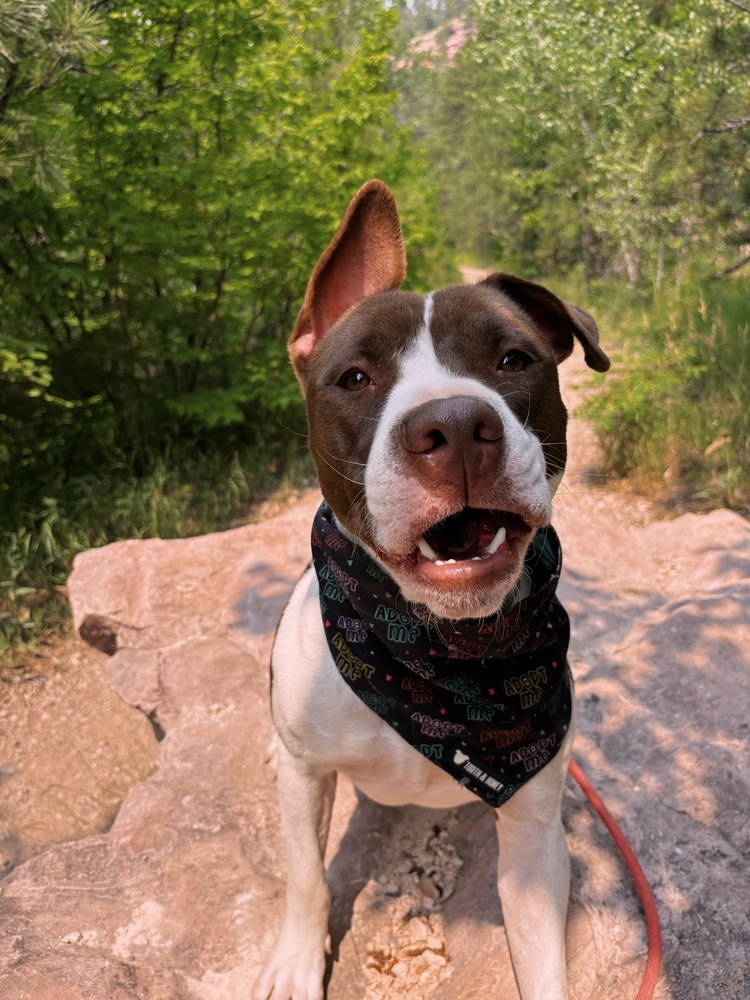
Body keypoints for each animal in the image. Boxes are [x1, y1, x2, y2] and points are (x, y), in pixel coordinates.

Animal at [254, 182, 612, 1000]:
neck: (434, 656)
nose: (454, 423)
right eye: (355, 378)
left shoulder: (533, 838)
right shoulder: (301, 768)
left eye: (514, 359)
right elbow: (306, 878)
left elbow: (542, 960)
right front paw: (295, 963)